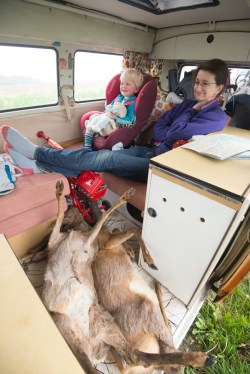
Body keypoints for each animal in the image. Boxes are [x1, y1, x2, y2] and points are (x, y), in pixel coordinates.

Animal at [92, 210, 217, 372]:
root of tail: (125, 368)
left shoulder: (110, 240)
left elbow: (123, 230)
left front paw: (133, 252)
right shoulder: (107, 243)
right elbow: (135, 229)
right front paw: (149, 260)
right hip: (148, 310)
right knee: (169, 355)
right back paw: (204, 358)